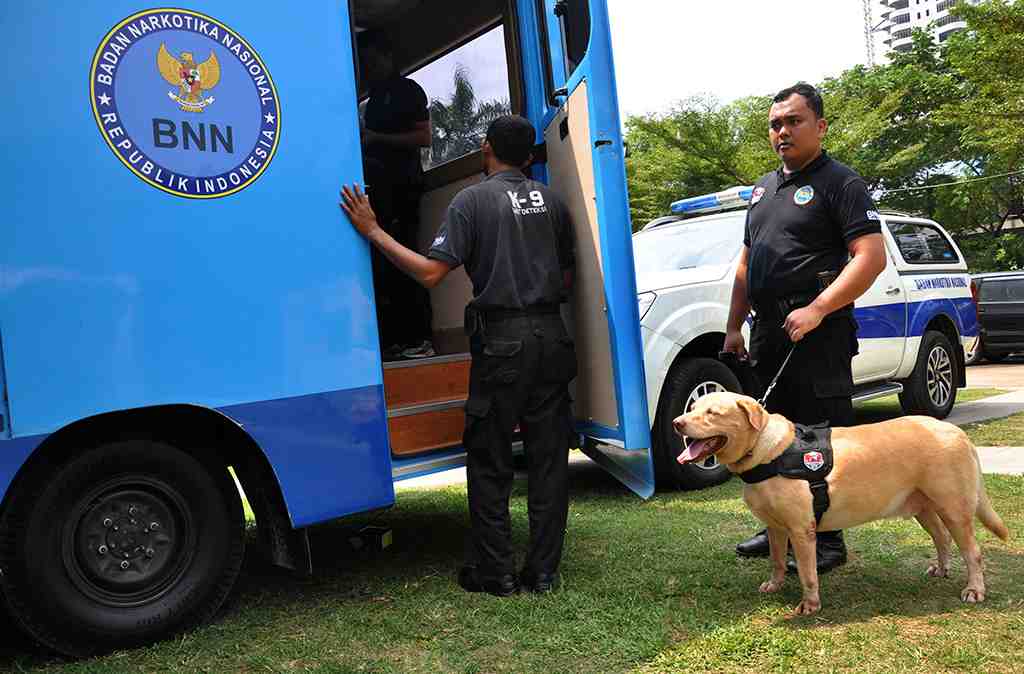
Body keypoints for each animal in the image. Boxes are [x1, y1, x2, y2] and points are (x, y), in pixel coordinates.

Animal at [671, 389, 1007, 614]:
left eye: (713, 412)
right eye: (693, 407)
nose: (676, 423)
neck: (765, 452)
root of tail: (957, 432)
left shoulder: (801, 530)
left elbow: (807, 573)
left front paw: (810, 604)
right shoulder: (776, 527)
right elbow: (777, 560)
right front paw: (775, 584)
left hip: (954, 508)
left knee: (973, 552)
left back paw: (974, 589)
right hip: (922, 506)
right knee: (941, 538)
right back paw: (940, 568)